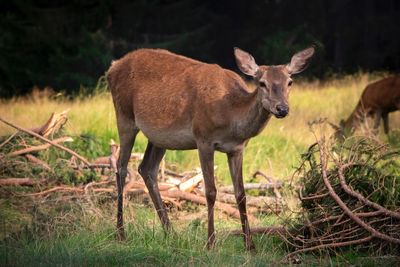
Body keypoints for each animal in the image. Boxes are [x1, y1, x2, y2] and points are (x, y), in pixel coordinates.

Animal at [107, 46, 316, 251]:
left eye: (290, 82)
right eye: (262, 83)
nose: (282, 108)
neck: (231, 115)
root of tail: (113, 67)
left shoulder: (237, 149)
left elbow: (241, 194)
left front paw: (250, 245)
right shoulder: (204, 139)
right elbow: (210, 192)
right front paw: (210, 243)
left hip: (160, 137)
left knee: (147, 168)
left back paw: (171, 233)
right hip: (124, 115)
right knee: (121, 168)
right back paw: (121, 233)